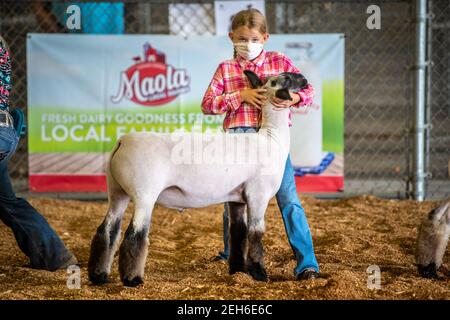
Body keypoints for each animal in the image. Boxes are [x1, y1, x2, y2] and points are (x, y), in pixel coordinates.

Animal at [87, 69, 310, 286]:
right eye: (286, 77)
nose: (305, 79)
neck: (271, 139)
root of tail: (122, 142)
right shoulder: (258, 194)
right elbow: (255, 233)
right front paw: (259, 274)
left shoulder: (236, 198)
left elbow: (238, 233)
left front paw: (238, 271)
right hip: (144, 193)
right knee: (134, 234)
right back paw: (132, 279)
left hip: (117, 192)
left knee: (106, 230)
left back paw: (99, 276)